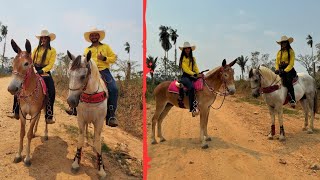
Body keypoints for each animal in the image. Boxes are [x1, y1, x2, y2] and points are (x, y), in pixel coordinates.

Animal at [67, 50, 108, 179]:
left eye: (83, 76)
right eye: (69, 74)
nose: (71, 101)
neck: (90, 95)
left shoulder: (99, 121)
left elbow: (98, 142)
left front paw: (101, 168)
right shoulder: (81, 118)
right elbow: (80, 138)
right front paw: (76, 161)